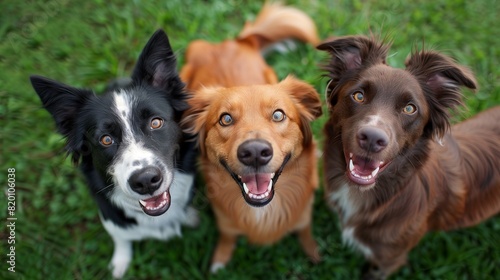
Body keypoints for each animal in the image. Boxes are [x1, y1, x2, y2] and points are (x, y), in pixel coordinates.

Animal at [29, 29, 199, 278]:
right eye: (106, 139)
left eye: (156, 122)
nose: (145, 181)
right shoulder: (110, 217)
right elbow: (120, 237)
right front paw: (120, 263)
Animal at [182, 75, 322, 272]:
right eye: (226, 119)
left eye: (278, 115)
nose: (255, 153)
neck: (262, 211)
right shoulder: (224, 221)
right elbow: (227, 237)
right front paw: (220, 260)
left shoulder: (304, 214)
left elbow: (305, 231)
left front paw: (313, 251)